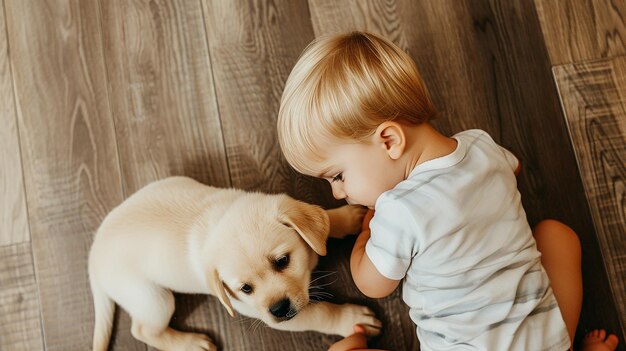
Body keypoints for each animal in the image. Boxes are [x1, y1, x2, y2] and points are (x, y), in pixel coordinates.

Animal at [88, 177, 380, 351]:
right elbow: (320, 313)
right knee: (142, 330)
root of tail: (93, 253)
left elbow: (324, 222)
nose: (278, 309)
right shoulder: (264, 313)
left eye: (282, 261)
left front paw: (345, 218)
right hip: (153, 299)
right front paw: (351, 319)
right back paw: (191, 343)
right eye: (245, 289)